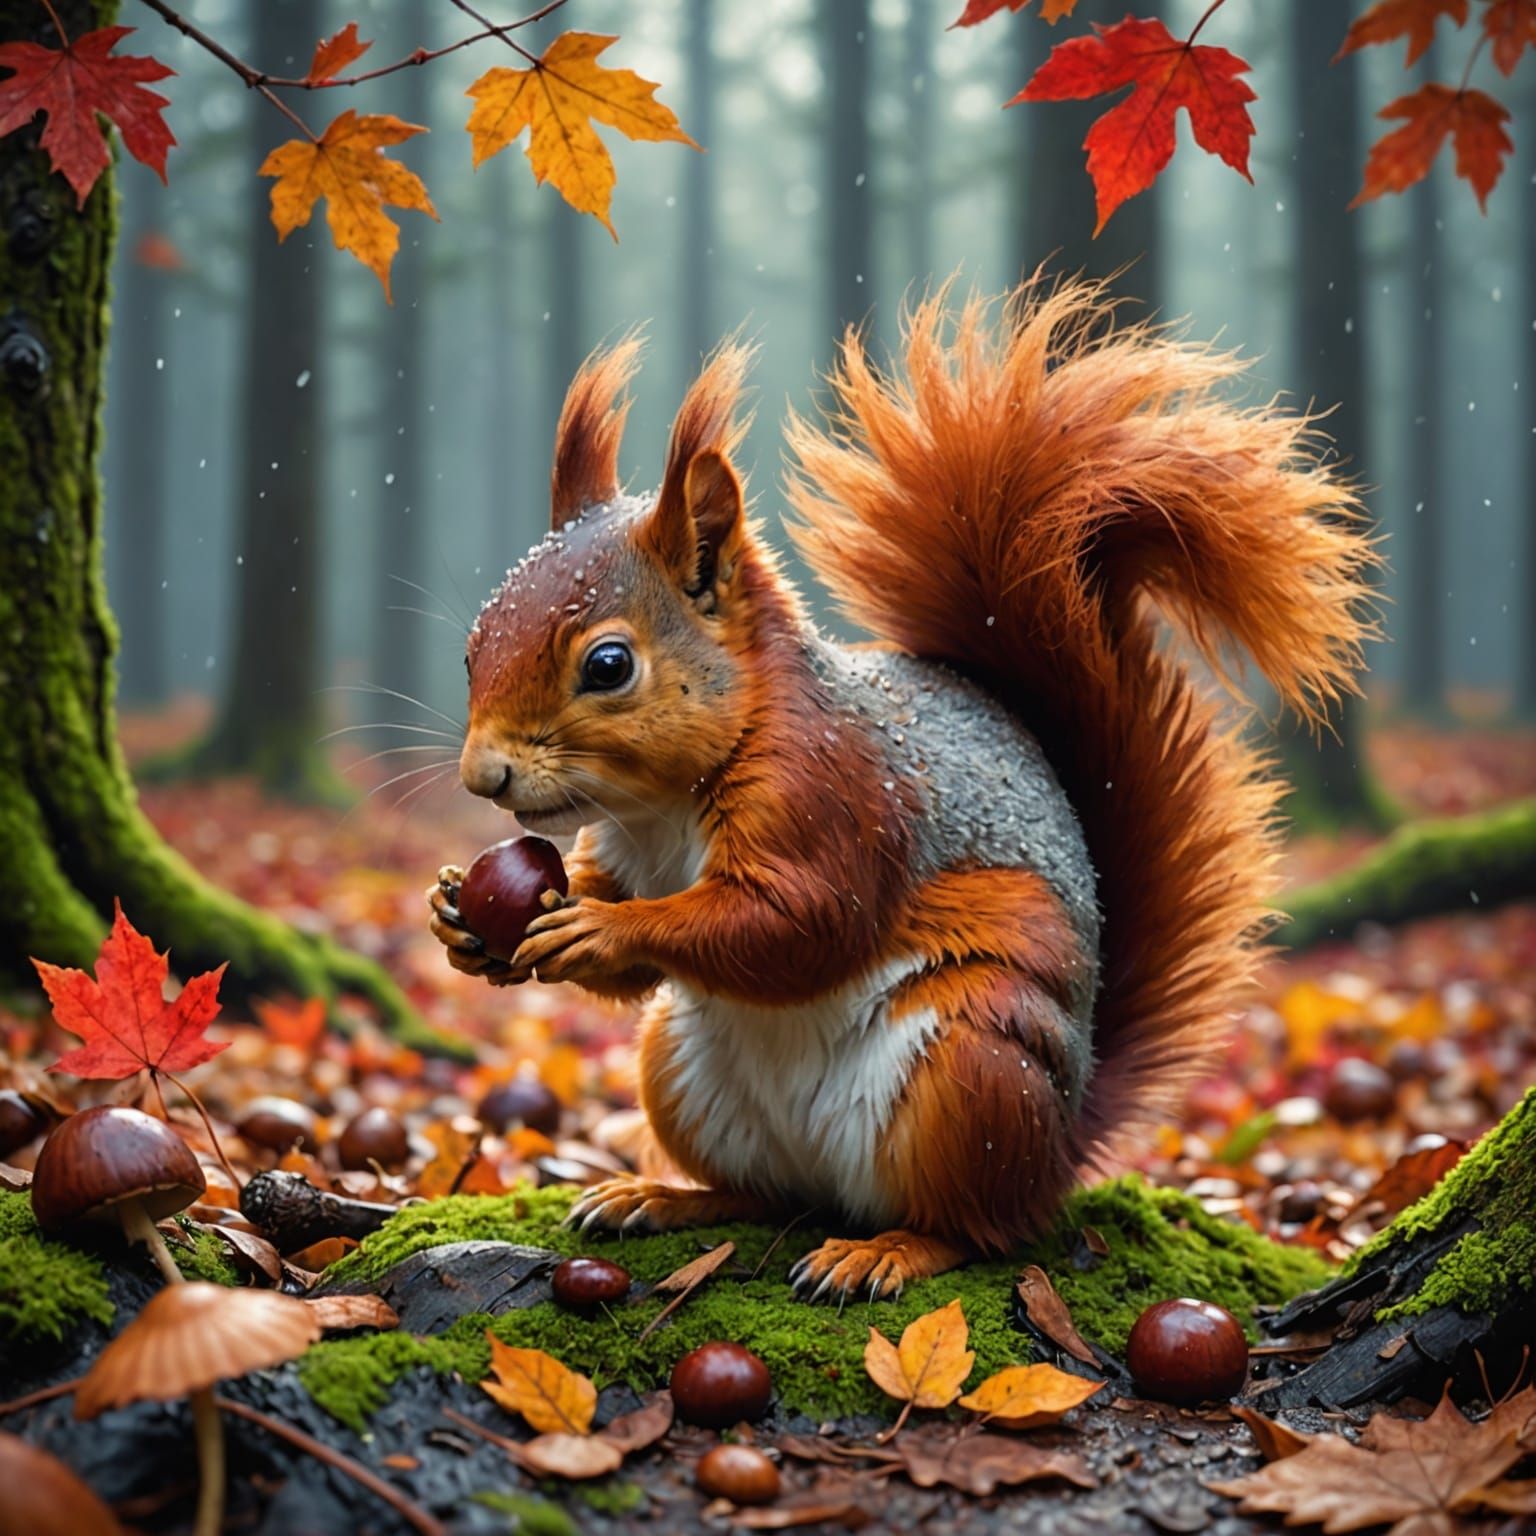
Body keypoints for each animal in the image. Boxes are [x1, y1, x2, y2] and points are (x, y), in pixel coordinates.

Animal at [428, 279, 1375, 1301]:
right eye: (473, 648)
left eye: (608, 666)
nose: (483, 775)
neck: (666, 805)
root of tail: (1064, 1141)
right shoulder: (626, 845)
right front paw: (461, 923)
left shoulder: (835, 795)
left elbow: (798, 923)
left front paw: (601, 928)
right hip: (679, 1067)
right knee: (764, 1193)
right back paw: (666, 1197)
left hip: (971, 1069)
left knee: (979, 1228)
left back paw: (884, 1251)